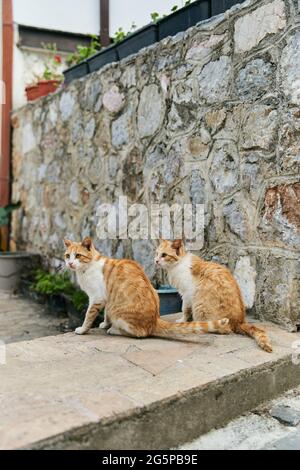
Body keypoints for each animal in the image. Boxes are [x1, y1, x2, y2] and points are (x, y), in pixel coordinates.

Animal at [63, 237, 230, 340]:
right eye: (67, 256)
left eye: (77, 256)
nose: (69, 263)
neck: (86, 269)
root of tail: (154, 320)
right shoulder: (105, 298)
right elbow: (105, 313)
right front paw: (105, 323)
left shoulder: (96, 297)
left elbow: (88, 316)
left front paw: (83, 329)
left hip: (121, 314)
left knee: (140, 334)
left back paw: (115, 330)